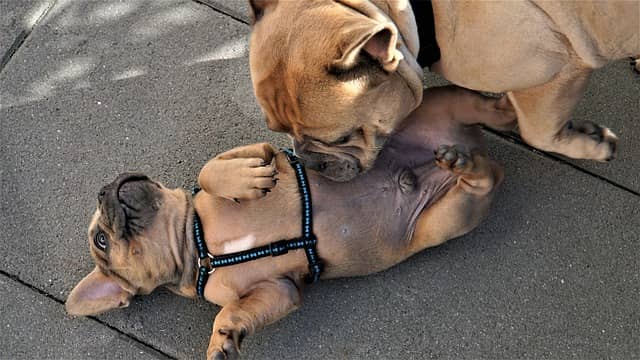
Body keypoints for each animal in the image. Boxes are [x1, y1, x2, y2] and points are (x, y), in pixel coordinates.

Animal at [65, 86, 516, 358]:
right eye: (101, 240)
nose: (105, 188)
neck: (198, 245)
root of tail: (469, 143)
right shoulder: (278, 290)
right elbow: (233, 313)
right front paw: (222, 339)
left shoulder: (256, 152)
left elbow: (211, 171)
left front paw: (244, 181)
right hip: (442, 217)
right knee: (487, 157)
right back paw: (473, 150)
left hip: (428, 122)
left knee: (480, 122)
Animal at [248, 0, 636, 180]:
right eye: (277, 129)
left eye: (342, 139)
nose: (310, 162)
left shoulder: (561, 65)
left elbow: (537, 131)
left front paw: (590, 144)